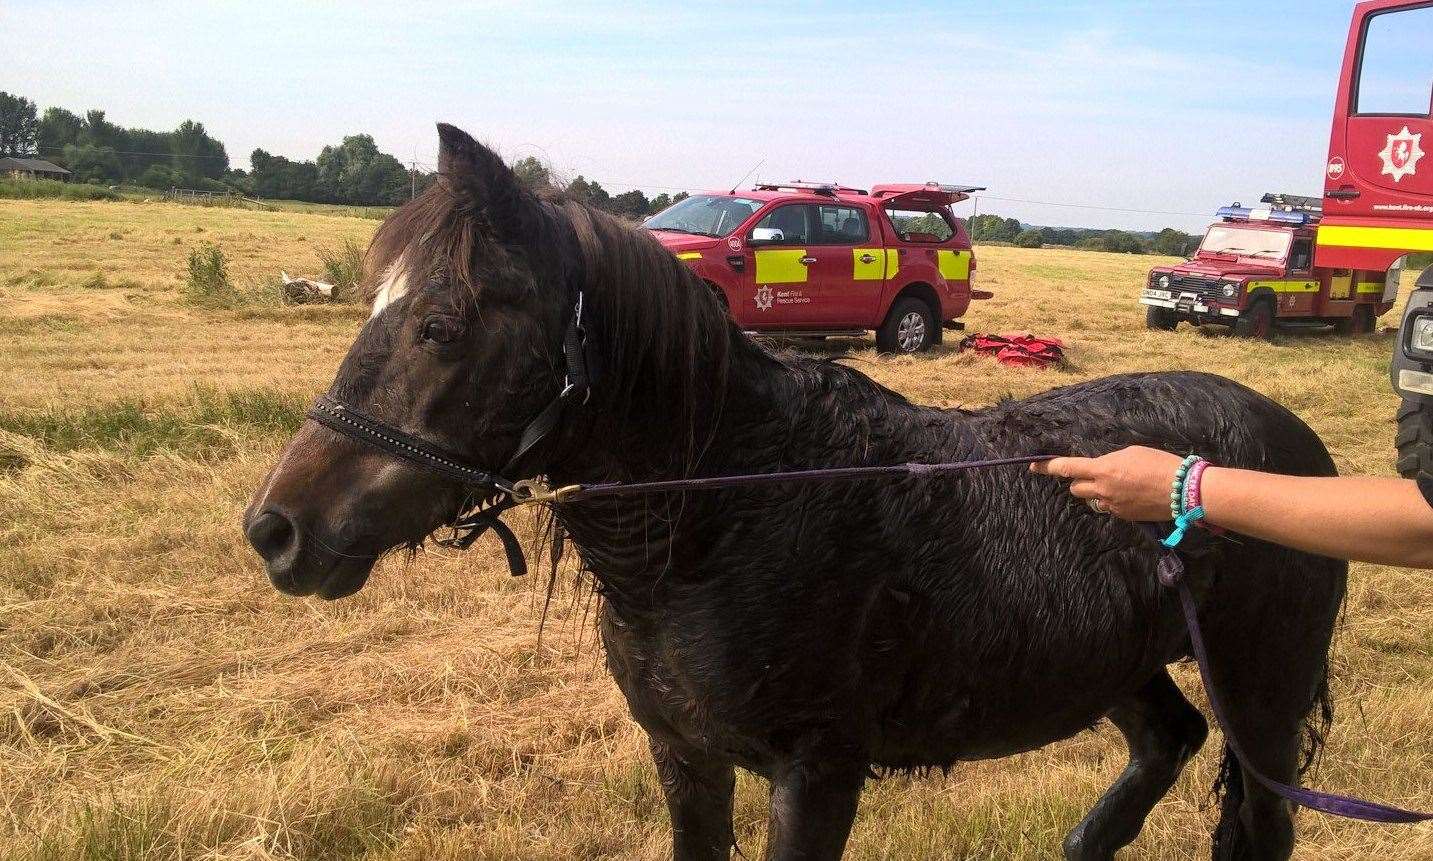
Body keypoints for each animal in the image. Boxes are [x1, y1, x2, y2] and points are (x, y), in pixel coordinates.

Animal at [240, 123, 1347, 853]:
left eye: (440, 325)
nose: (276, 529)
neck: (731, 512)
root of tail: (1291, 442)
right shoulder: (683, 758)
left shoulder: (815, 774)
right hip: (1116, 664)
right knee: (1165, 743)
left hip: (1261, 692)